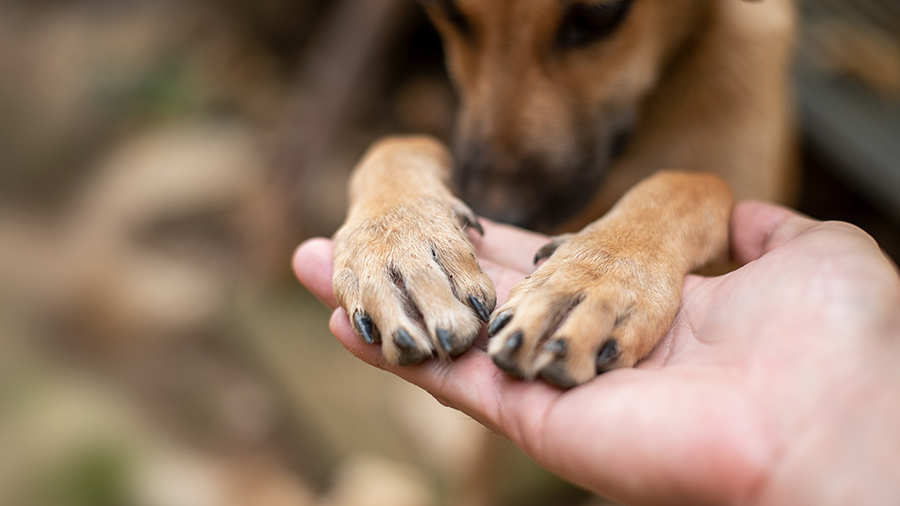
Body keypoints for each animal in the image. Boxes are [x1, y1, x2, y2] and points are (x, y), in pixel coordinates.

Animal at [330, 0, 796, 388]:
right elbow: (397, 143)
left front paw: (595, 277)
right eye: (447, 11)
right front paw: (398, 241)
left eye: (599, 14)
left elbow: (692, 181)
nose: (498, 214)